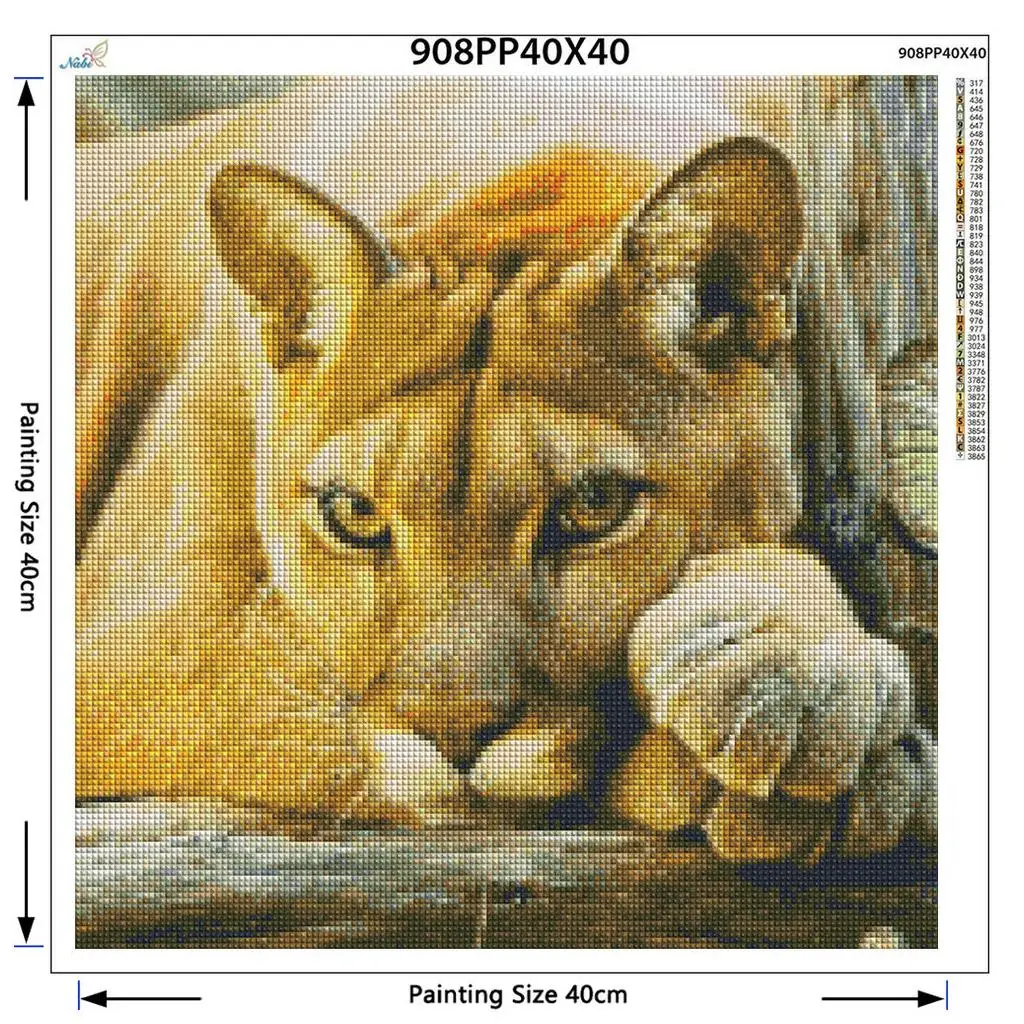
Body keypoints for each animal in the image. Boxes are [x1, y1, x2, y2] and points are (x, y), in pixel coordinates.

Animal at [75, 77, 937, 862]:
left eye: (594, 505)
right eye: (353, 513)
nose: (455, 735)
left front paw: (795, 664)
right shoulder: (145, 639)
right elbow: (318, 715)